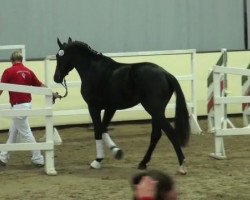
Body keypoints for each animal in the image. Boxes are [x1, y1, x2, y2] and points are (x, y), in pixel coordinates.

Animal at [54, 38, 189, 174]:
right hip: (156, 112)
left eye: (60, 56)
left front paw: (97, 161)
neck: (93, 69)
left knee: (170, 133)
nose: (56, 78)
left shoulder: (94, 107)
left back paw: (182, 165)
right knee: (156, 135)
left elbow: (98, 130)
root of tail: (166, 74)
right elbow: (103, 128)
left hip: (154, 110)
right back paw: (143, 163)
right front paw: (116, 152)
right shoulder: (110, 108)